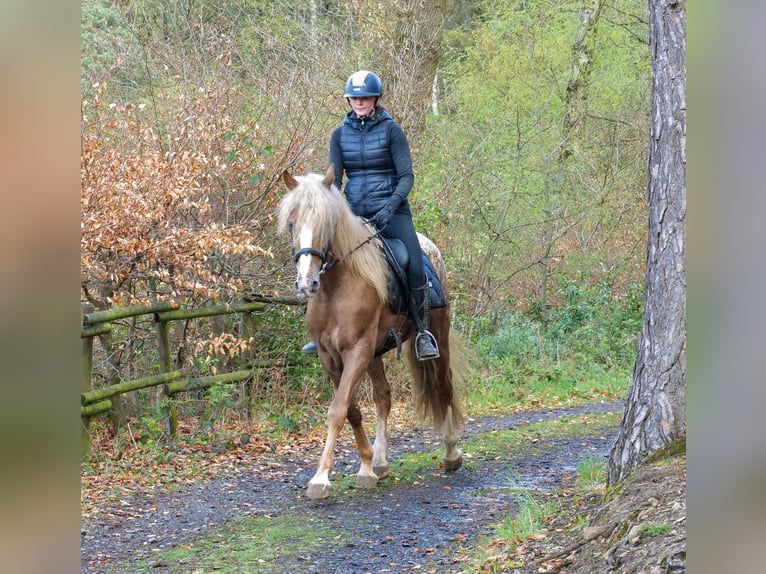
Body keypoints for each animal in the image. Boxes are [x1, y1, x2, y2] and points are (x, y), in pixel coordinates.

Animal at [278, 165, 464, 500]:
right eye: (291, 222)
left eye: (326, 223)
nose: (307, 283)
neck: (336, 289)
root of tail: (429, 247)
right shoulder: (331, 357)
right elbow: (351, 409)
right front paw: (365, 466)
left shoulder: (357, 351)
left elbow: (337, 410)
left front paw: (320, 478)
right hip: (376, 353)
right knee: (383, 398)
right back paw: (380, 461)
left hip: (436, 335)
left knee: (444, 386)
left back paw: (451, 452)